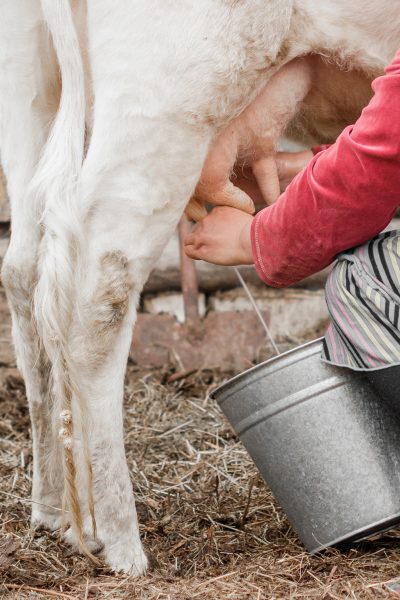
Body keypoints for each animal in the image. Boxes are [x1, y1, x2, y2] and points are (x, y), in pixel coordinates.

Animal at [0, 0, 398, 576]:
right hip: (167, 103)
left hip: (28, 88)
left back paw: (55, 511)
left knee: (27, 274)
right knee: (102, 286)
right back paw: (120, 543)